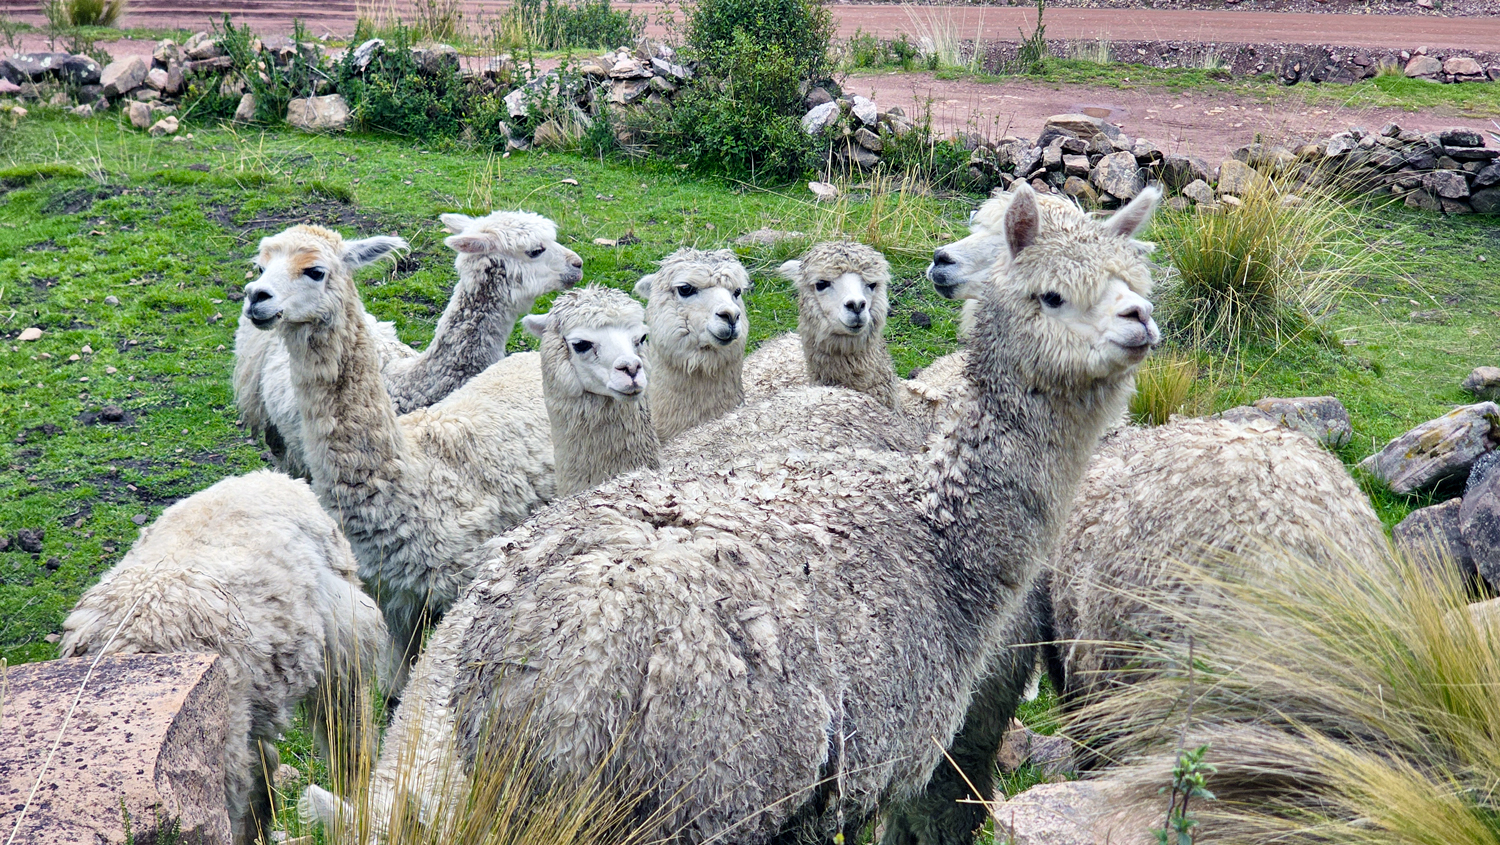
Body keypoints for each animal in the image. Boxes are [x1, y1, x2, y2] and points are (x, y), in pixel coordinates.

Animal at [240, 224, 556, 690]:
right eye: (260, 266)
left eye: (315, 271)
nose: (256, 297)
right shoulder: (387, 597)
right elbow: (395, 687)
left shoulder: (454, 588)